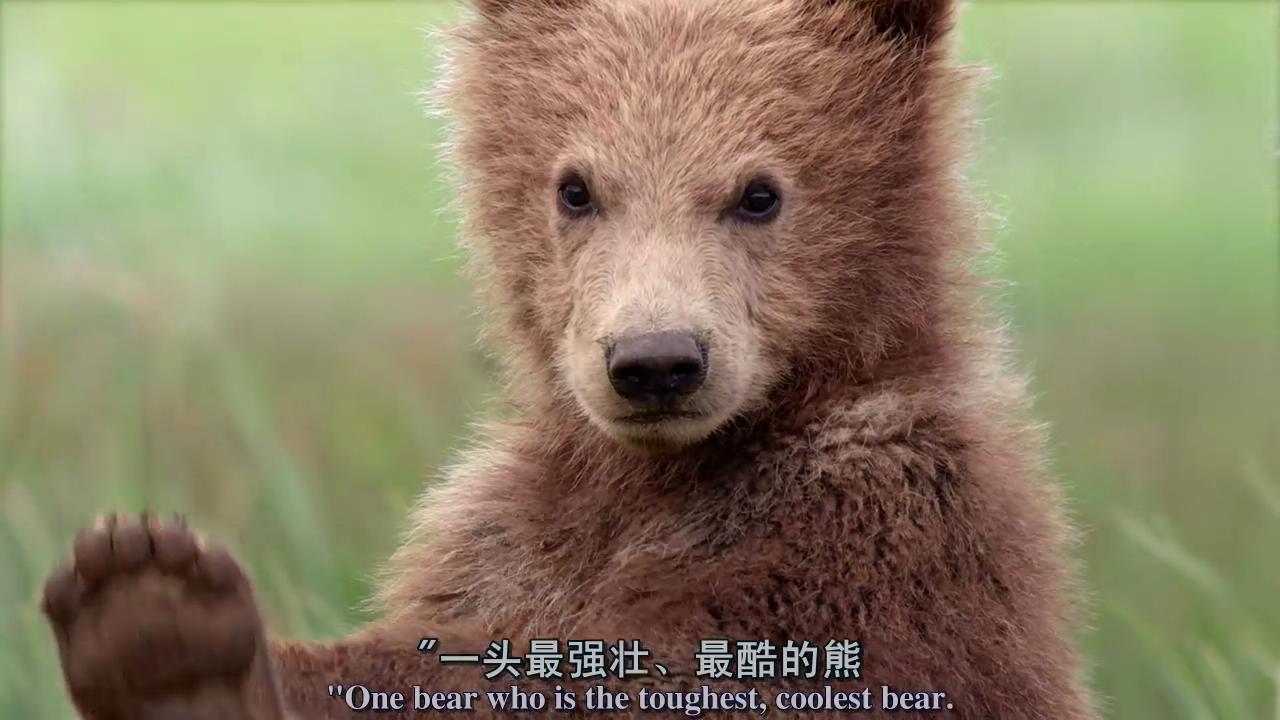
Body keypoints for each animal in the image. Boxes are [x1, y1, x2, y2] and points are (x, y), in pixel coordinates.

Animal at [40, 0, 1098, 717]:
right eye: (577, 186)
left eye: (759, 191)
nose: (656, 361)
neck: (653, 480)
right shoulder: (498, 538)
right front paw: (142, 612)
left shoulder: (883, 533)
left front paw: (167, 621)